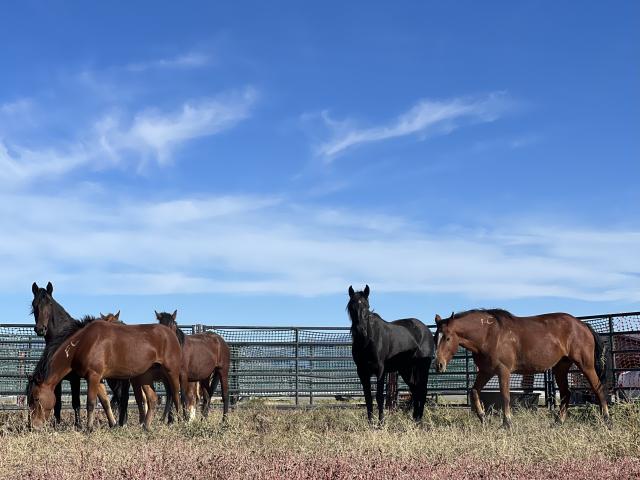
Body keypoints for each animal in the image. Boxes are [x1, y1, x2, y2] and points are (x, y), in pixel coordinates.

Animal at [27, 319, 183, 431]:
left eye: (36, 398)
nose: (33, 426)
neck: (82, 343)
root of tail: (170, 333)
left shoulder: (93, 376)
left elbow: (90, 403)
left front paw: (89, 428)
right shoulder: (99, 379)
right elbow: (105, 402)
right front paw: (113, 424)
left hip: (171, 372)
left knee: (176, 395)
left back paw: (180, 421)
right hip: (145, 377)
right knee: (152, 399)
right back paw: (146, 426)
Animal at [31, 282, 130, 427]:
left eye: (49, 303)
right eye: (34, 304)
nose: (40, 329)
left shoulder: (75, 379)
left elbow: (76, 403)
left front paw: (78, 425)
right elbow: (57, 402)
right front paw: (57, 424)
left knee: (122, 395)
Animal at [347, 285, 435, 423]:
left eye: (367, 306)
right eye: (351, 307)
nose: (360, 331)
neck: (368, 341)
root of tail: (426, 330)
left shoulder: (380, 370)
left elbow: (379, 397)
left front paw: (381, 423)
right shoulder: (362, 371)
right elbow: (368, 398)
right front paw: (370, 423)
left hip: (422, 367)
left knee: (422, 390)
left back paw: (419, 419)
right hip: (406, 369)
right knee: (415, 389)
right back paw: (415, 418)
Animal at [434, 309, 610, 428]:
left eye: (447, 338)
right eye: (435, 337)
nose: (438, 365)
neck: (489, 334)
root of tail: (582, 325)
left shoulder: (503, 370)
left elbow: (505, 396)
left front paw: (507, 423)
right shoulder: (486, 371)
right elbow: (474, 391)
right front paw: (484, 418)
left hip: (585, 365)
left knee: (598, 388)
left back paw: (606, 420)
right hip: (561, 367)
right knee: (566, 393)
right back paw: (558, 422)